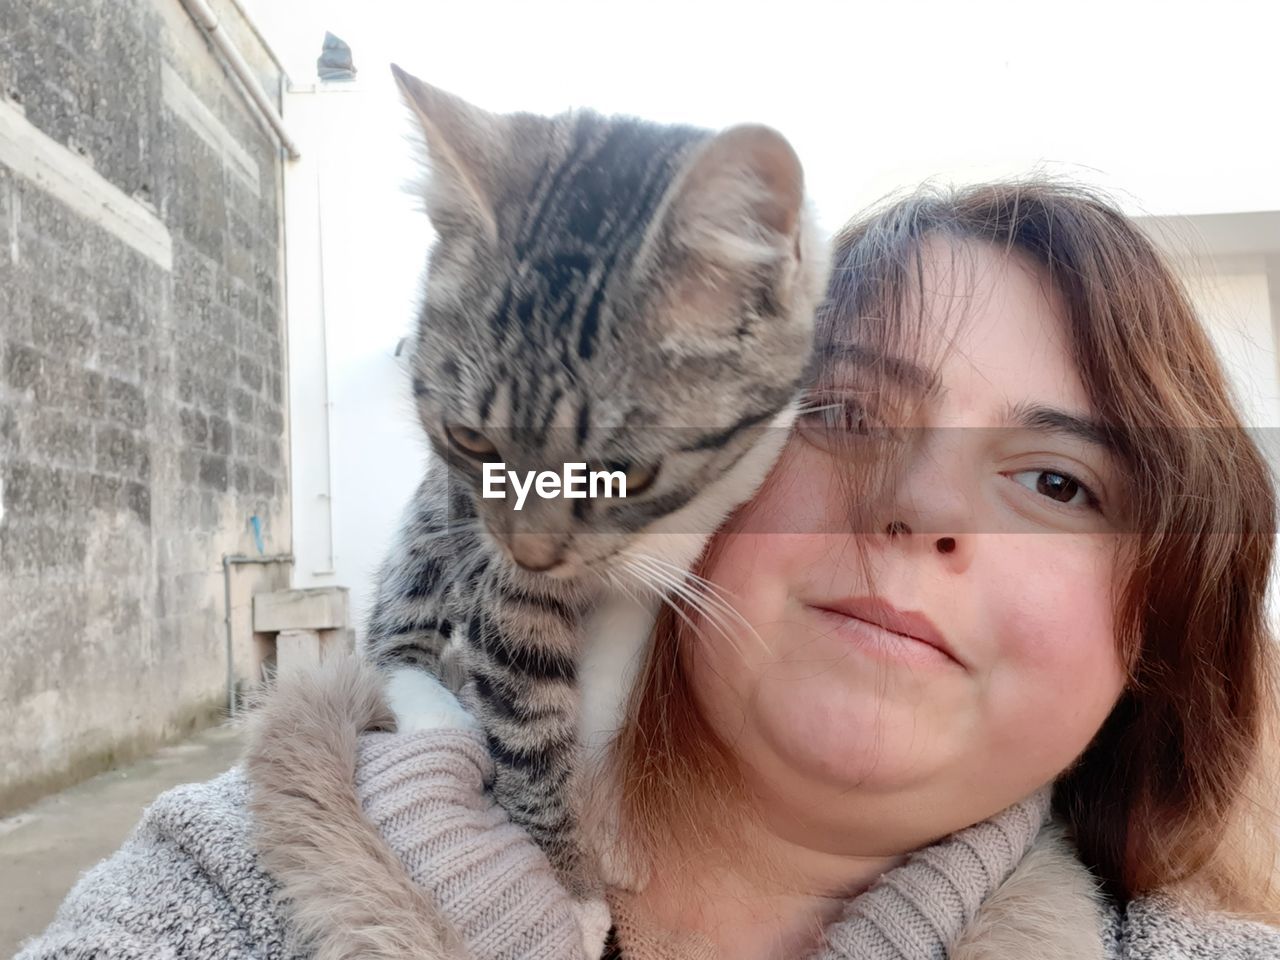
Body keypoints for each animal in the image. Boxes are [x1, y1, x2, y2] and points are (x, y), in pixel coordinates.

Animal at [368, 65, 829, 947]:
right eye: (470, 437)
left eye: (626, 472)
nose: (532, 551)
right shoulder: (495, 569)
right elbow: (525, 706)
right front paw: (570, 889)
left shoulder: (659, 575)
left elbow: (615, 688)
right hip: (437, 528)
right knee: (394, 622)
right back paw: (429, 707)